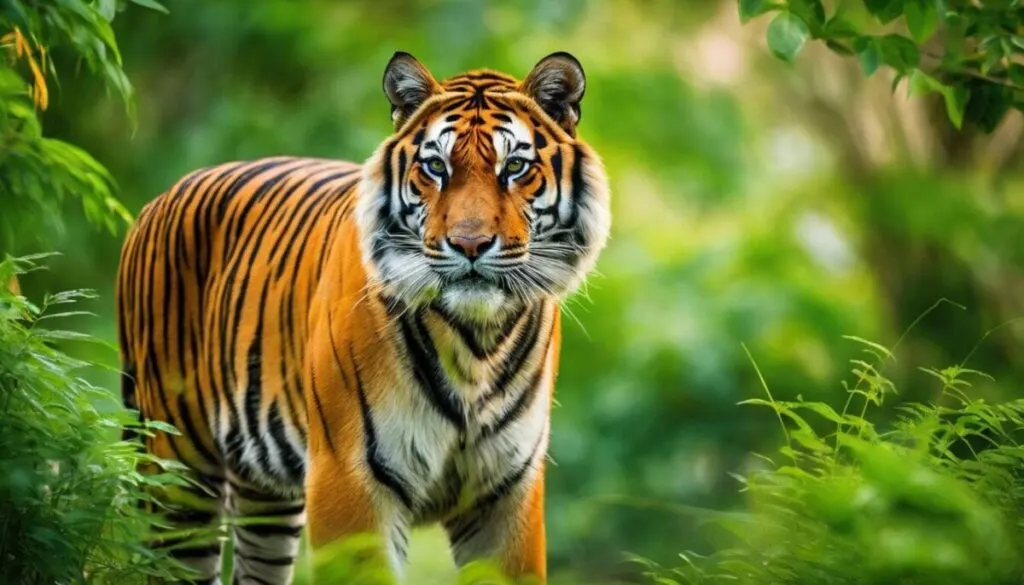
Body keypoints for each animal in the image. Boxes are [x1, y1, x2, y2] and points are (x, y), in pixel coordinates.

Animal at [115, 51, 611, 584]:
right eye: (435, 167)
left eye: (515, 167)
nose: (470, 244)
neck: (477, 340)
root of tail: (156, 201)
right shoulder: (350, 483)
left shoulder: (506, 493)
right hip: (178, 471)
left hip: (264, 495)